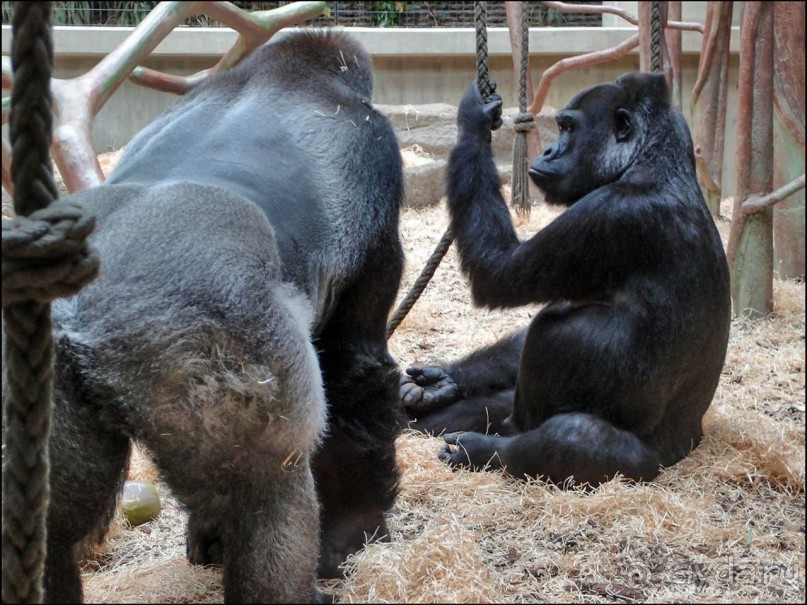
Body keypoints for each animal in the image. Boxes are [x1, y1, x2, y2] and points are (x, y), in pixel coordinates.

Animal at [33, 30, 404, 600]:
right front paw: (357, 525)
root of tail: (79, 310)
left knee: (52, 532)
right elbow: (358, 373)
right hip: (215, 341)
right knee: (270, 493)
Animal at [400, 72, 736, 486]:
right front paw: (444, 378)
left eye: (568, 128)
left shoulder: (609, 215)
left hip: (643, 465)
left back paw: (483, 450)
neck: (648, 159)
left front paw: (474, 120)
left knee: (573, 434)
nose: (546, 152)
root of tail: (692, 445)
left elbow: (499, 272)